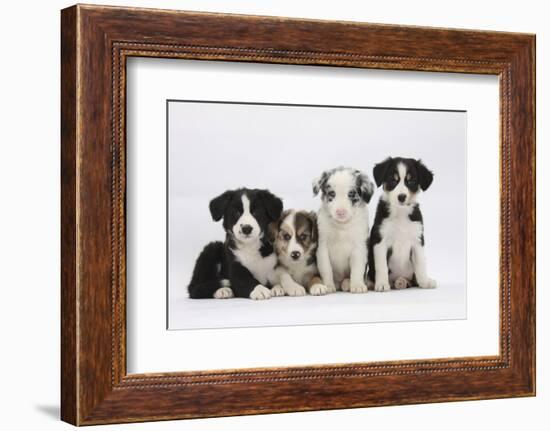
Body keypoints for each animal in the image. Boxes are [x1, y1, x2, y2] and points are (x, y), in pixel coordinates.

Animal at [312, 167, 378, 296]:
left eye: (351, 194)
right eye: (332, 193)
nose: (340, 212)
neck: (341, 226)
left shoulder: (359, 247)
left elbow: (357, 269)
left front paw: (357, 285)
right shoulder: (322, 247)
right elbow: (326, 269)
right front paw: (328, 285)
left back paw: (347, 283)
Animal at [368, 159, 438, 294]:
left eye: (411, 181)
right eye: (393, 180)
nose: (401, 197)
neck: (400, 212)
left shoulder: (417, 240)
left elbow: (421, 263)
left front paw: (424, 282)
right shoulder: (380, 241)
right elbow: (382, 266)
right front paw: (382, 284)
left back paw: (403, 281)